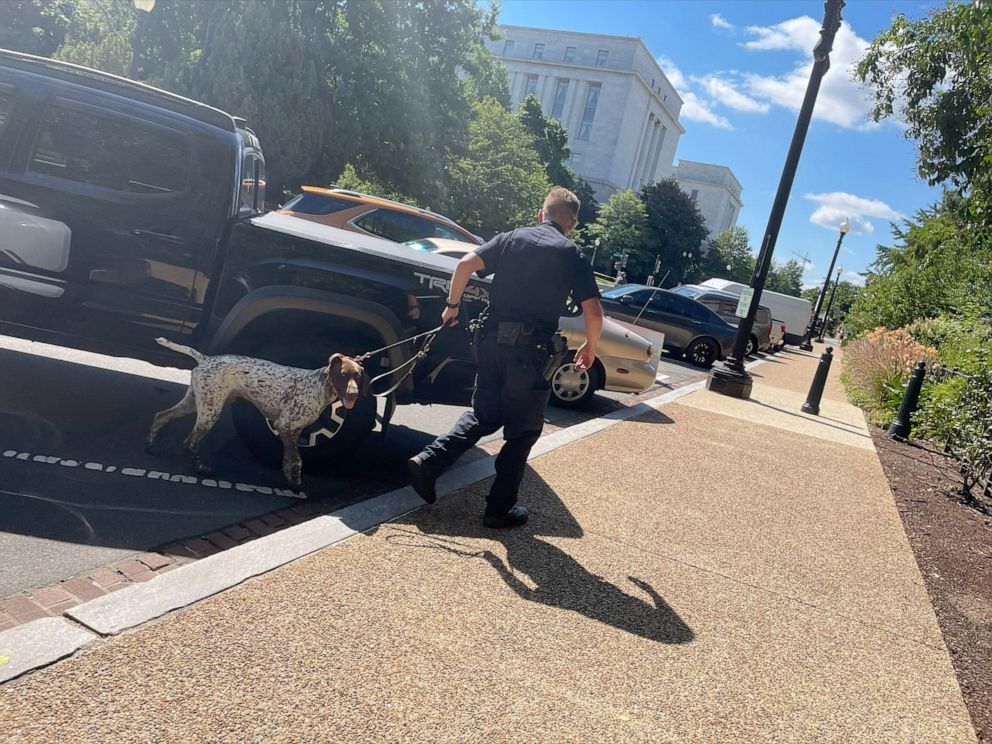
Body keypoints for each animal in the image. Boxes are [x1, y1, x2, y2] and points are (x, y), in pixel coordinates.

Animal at [151, 338, 372, 494]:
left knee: (162, 416)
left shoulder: (293, 431)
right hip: (210, 410)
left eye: (357, 376)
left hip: (194, 403)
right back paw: (200, 467)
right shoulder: (284, 425)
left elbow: (289, 459)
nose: (353, 394)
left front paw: (289, 478)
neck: (319, 386)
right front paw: (295, 483)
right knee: (191, 441)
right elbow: (296, 461)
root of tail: (206, 358)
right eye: (343, 375)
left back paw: (151, 444)